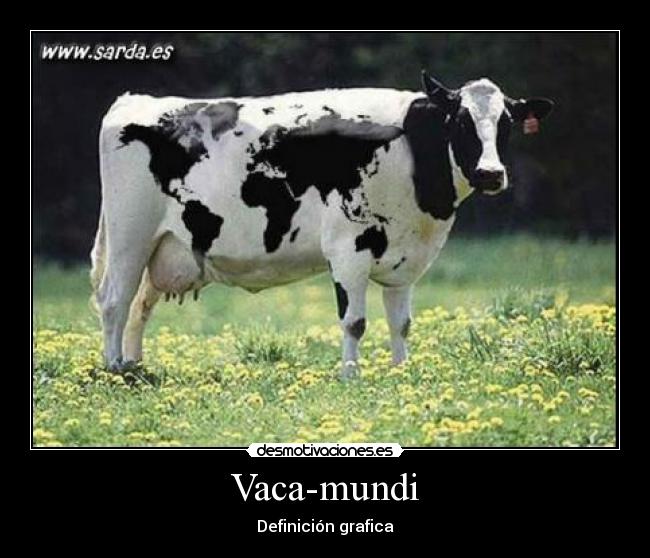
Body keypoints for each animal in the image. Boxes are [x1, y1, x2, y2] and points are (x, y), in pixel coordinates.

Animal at [90, 71, 553, 378]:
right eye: (460, 121)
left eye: (507, 124)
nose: (491, 174)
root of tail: (135, 100)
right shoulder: (349, 248)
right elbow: (355, 322)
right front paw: (350, 376)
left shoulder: (404, 259)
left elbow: (400, 322)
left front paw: (401, 372)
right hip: (130, 237)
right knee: (115, 300)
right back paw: (114, 369)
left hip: (164, 246)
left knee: (139, 306)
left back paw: (134, 367)